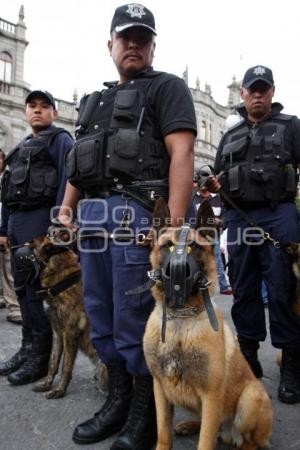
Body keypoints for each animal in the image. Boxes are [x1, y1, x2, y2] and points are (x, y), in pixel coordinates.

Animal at [27, 236, 98, 398]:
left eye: (32, 243)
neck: (63, 282)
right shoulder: (57, 333)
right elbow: (52, 362)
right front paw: (47, 384)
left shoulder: (69, 333)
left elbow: (66, 365)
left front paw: (60, 390)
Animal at [142, 200, 272, 450]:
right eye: (168, 247)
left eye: (193, 247)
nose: (178, 273)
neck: (181, 319)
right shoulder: (159, 388)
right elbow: (163, 432)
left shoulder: (211, 396)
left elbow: (205, 440)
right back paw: (189, 425)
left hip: (251, 397)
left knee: (249, 442)